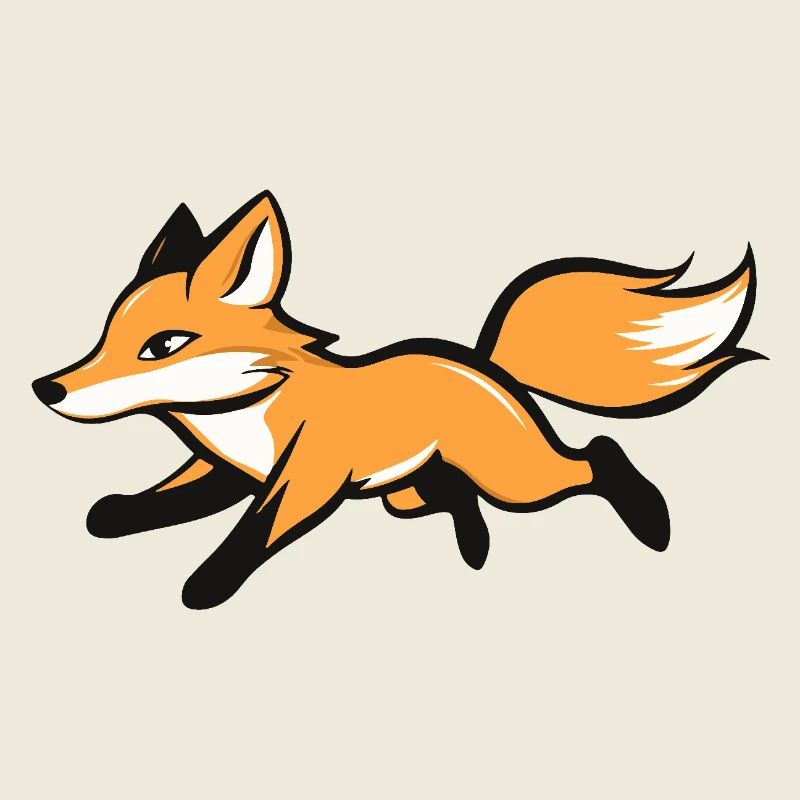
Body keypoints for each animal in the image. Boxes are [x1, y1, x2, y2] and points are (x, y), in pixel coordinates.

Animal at [32, 191, 763, 609]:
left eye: (163, 345)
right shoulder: (228, 470)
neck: (244, 413)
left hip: (517, 480)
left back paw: (650, 519)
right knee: (450, 498)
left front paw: (208, 586)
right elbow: (161, 501)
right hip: (403, 493)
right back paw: (474, 545)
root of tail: (484, 363)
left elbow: (253, 532)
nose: (47, 388)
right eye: (104, 335)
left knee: (598, 454)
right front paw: (118, 513)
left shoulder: (305, 477)